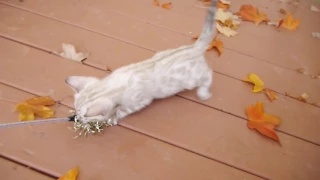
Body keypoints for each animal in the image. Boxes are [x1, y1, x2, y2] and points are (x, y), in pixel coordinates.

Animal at [66, 0, 219, 125]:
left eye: (84, 117)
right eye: (76, 111)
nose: (76, 119)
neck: (113, 84)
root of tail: (194, 47)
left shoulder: (138, 102)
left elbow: (121, 110)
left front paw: (112, 118)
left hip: (192, 79)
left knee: (208, 74)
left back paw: (204, 93)